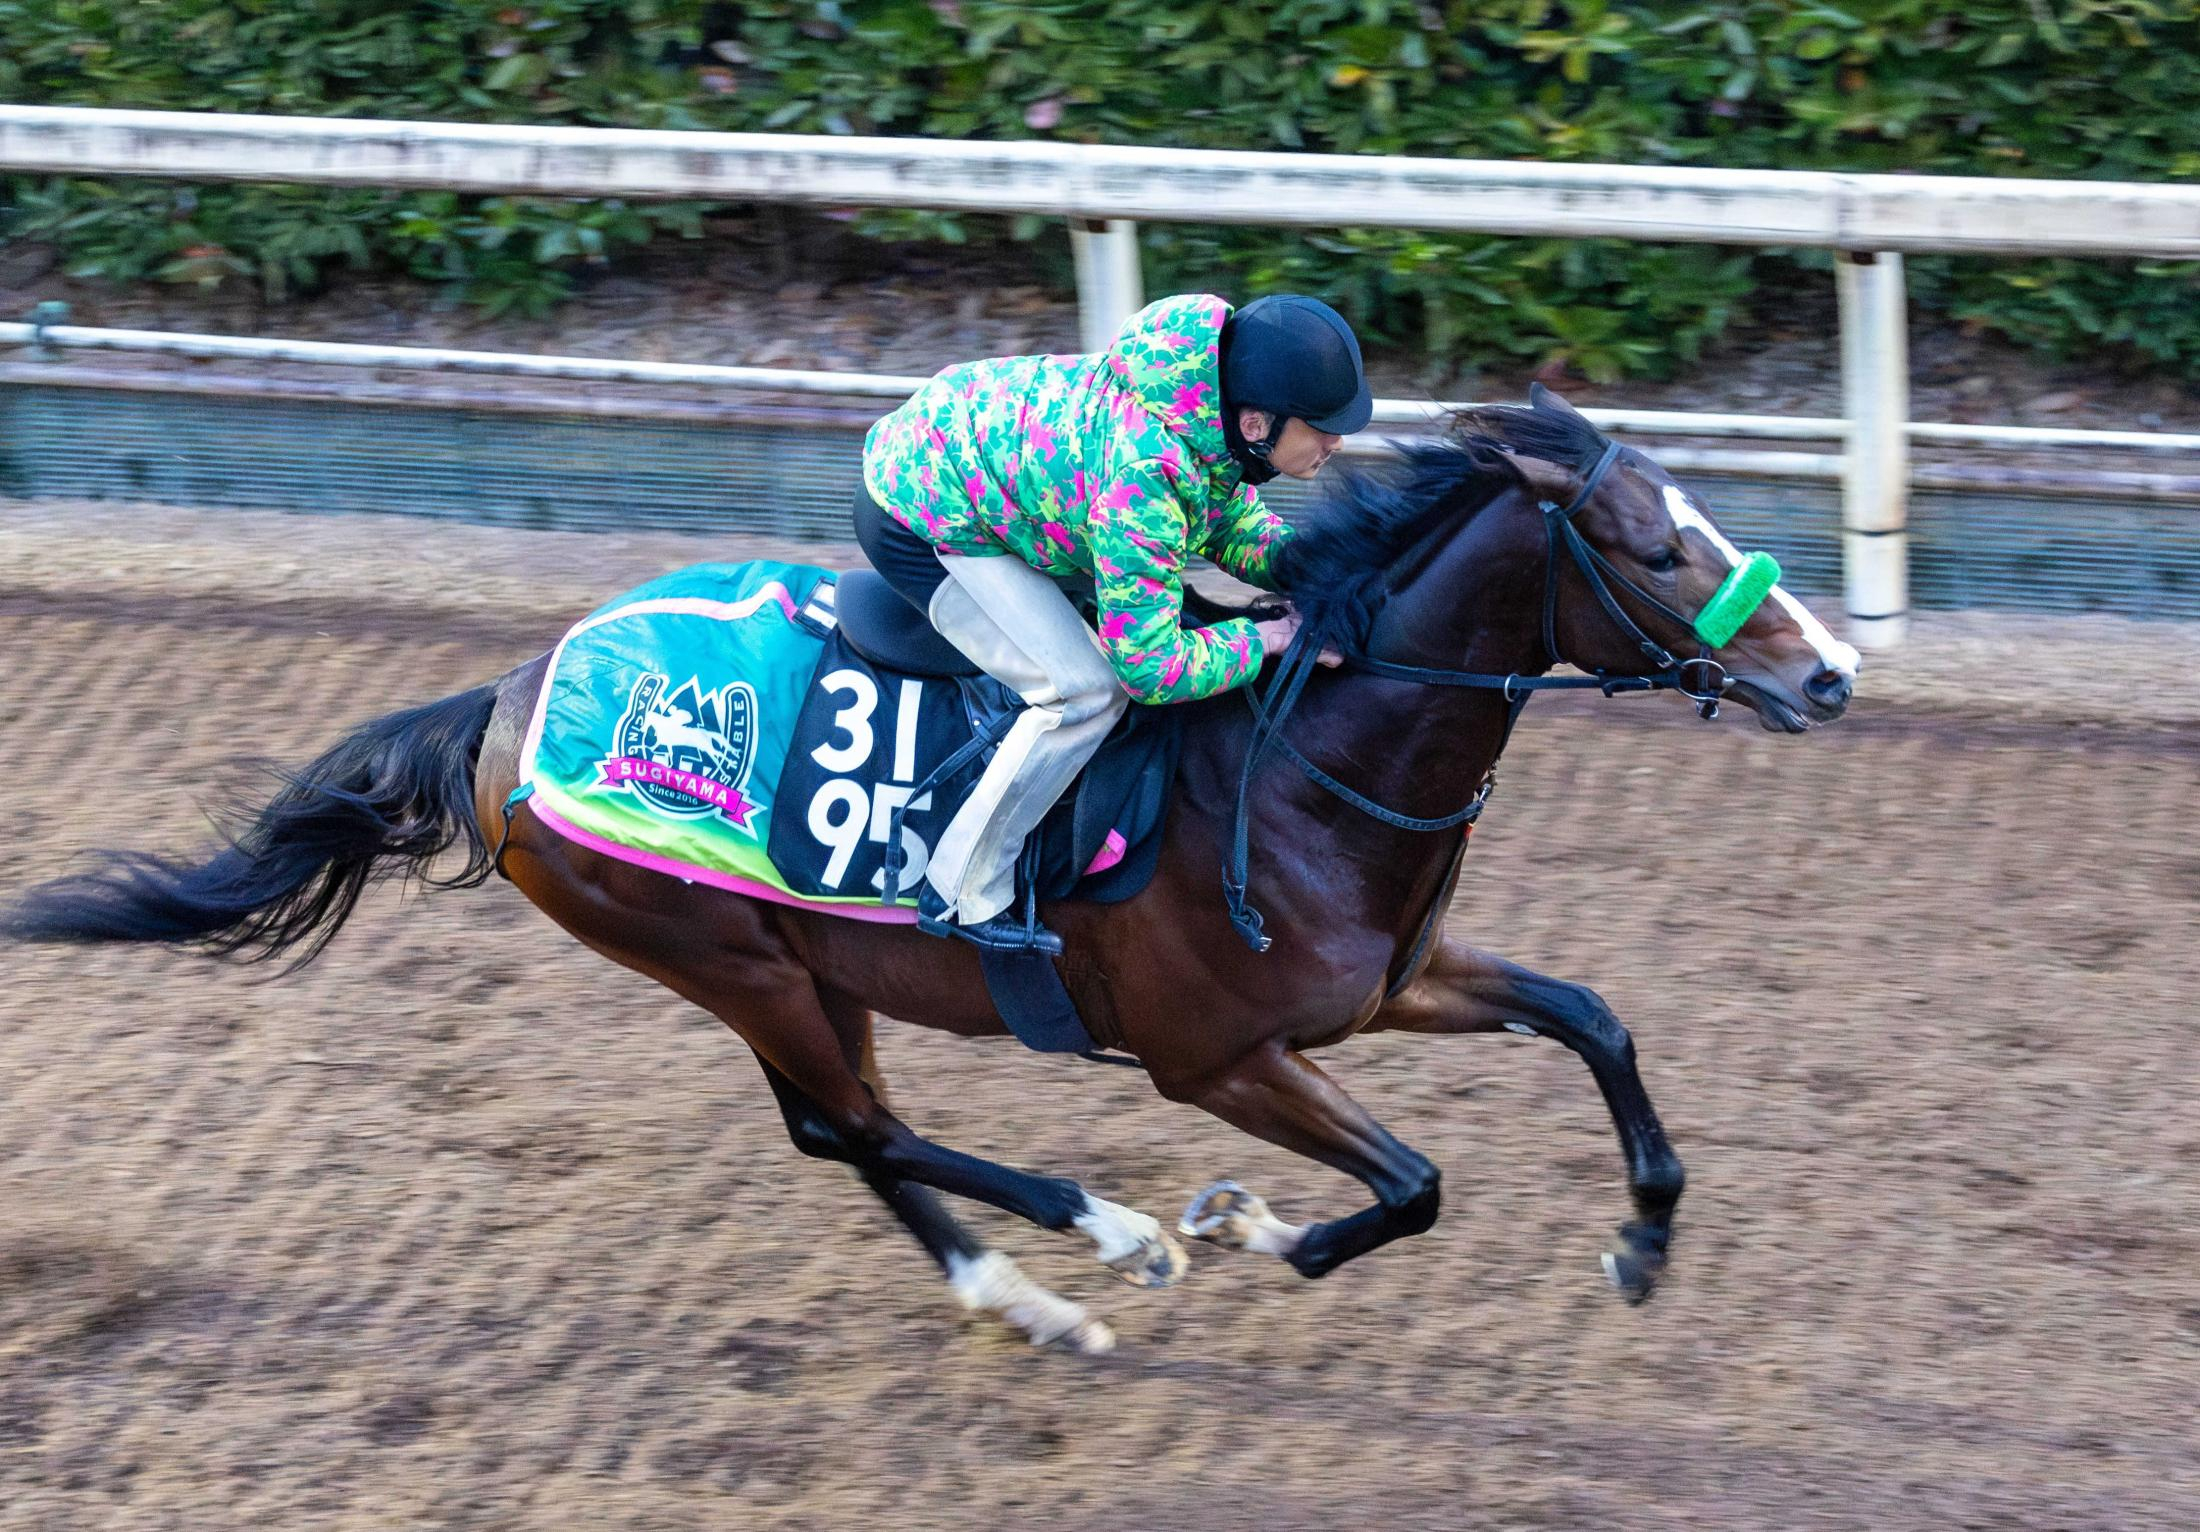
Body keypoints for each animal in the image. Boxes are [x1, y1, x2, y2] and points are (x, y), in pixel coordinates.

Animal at [4, 391, 1856, 1355]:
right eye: (1649, 546)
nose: (1832, 672)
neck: (1302, 771)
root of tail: (515, 697)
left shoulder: (1393, 986)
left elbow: (1596, 1018)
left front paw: (1641, 1242)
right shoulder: (1215, 1057)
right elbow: (1412, 1186)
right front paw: (1247, 1225)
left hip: (792, 966)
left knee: (844, 1130)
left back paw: (1026, 1293)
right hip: (722, 951)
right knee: (864, 1128)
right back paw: (1107, 1240)